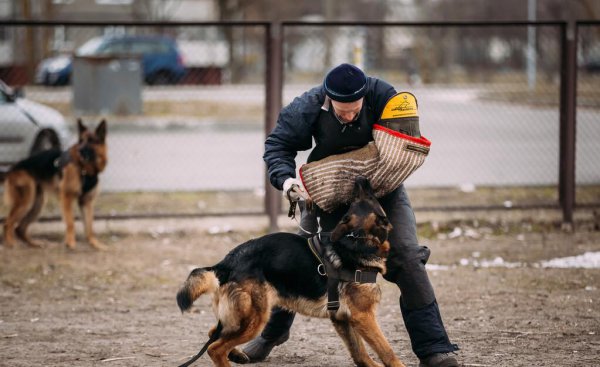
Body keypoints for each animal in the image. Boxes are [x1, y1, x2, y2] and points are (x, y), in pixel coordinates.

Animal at [3, 119, 108, 252]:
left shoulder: (86, 203)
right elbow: (71, 223)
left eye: (91, 141)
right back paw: (10, 243)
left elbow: (89, 227)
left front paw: (95, 244)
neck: (85, 169)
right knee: (7, 223)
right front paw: (70, 244)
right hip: (26, 202)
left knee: (19, 229)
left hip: (37, 204)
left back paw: (34, 244)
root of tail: (12, 169)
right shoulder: (67, 198)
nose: (80, 150)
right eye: (81, 141)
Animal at [176, 177, 406, 366]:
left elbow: (360, 354)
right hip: (255, 317)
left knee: (213, 335)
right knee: (215, 348)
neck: (356, 239)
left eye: (359, 199)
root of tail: (227, 261)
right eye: (367, 197)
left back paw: (238, 354)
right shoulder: (363, 316)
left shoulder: (343, 318)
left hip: (237, 319)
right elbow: (387, 351)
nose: (360, 179)